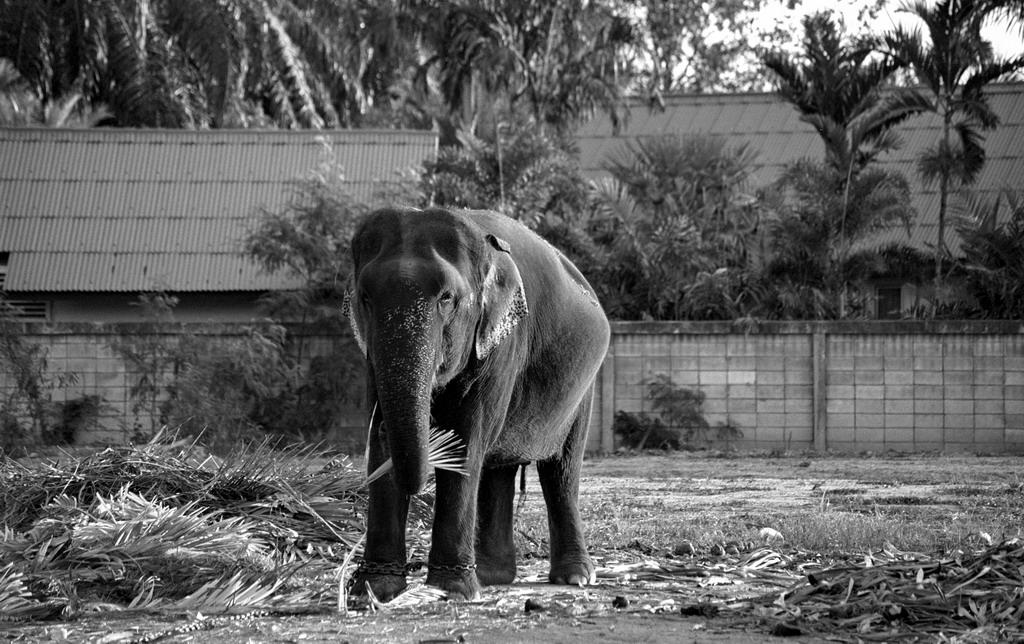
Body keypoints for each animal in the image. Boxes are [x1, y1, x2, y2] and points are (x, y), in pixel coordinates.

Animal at [348, 206, 610, 602]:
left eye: (446, 298)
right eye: (365, 297)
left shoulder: (502, 345)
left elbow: (465, 441)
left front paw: (453, 591)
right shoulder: (371, 358)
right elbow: (382, 443)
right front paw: (373, 591)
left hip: (583, 387)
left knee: (561, 470)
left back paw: (574, 577)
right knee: (497, 469)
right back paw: (492, 576)